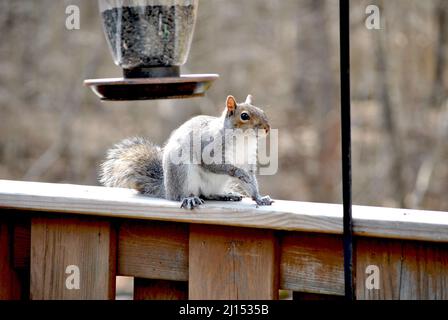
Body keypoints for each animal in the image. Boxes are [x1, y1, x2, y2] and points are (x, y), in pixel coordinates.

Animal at [99, 94, 272, 210]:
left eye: (262, 111)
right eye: (244, 116)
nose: (267, 128)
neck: (243, 140)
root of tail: (167, 189)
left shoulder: (248, 160)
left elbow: (251, 180)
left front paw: (259, 198)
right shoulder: (209, 149)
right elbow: (215, 165)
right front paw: (239, 173)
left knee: (208, 194)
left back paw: (225, 195)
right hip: (182, 172)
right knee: (181, 195)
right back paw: (189, 199)